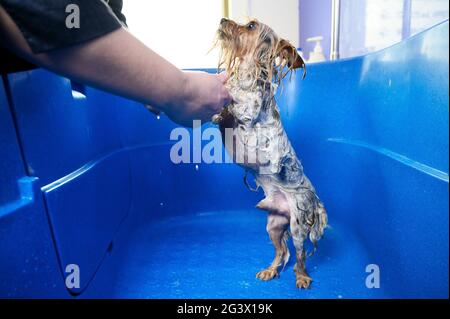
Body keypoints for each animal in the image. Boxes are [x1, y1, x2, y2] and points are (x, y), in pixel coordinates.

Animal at [214, 18, 326, 290]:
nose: (223, 20)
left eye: (251, 26)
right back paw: (270, 270)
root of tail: (316, 200)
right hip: (274, 225)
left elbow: (236, 105)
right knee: (281, 252)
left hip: (297, 225)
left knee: (299, 255)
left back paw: (302, 277)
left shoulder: (248, 118)